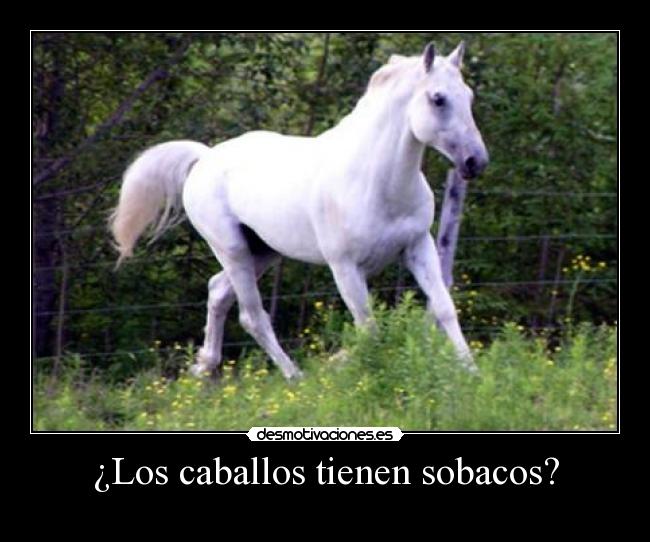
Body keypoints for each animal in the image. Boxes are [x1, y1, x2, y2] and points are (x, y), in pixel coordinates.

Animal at [110, 41, 489, 381]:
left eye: (469, 97)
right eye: (438, 98)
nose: (476, 161)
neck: (376, 183)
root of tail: (205, 158)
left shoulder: (418, 246)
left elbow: (444, 308)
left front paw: (471, 373)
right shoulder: (345, 268)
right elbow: (368, 326)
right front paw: (370, 372)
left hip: (263, 252)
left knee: (217, 292)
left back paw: (206, 367)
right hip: (233, 251)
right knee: (252, 315)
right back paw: (294, 377)